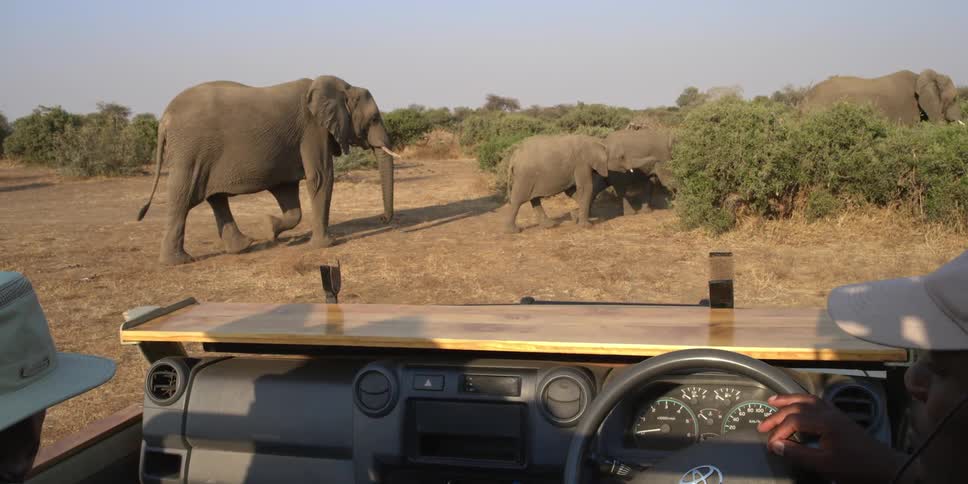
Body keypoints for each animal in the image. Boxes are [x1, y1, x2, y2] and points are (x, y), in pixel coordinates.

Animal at [136, 75, 400, 265]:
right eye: (374, 119)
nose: (382, 218)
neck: (343, 87)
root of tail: (164, 118)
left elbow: (289, 195)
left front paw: (270, 229)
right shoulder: (313, 130)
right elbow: (320, 177)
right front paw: (325, 246)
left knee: (216, 198)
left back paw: (244, 246)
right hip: (189, 151)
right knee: (182, 197)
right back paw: (178, 262)